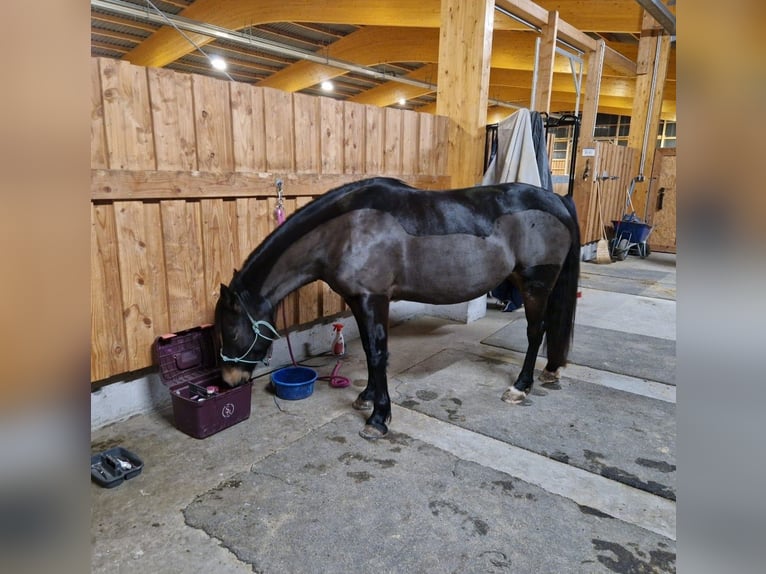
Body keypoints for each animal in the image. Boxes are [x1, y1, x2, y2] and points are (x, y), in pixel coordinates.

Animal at [213, 176, 580, 440]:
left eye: (231, 330)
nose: (229, 381)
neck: (345, 230)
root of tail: (558, 201)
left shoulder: (373, 298)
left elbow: (378, 353)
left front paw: (378, 418)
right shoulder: (359, 301)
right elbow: (369, 351)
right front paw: (367, 396)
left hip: (535, 285)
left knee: (535, 332)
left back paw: (520, 386)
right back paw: (549, 371)